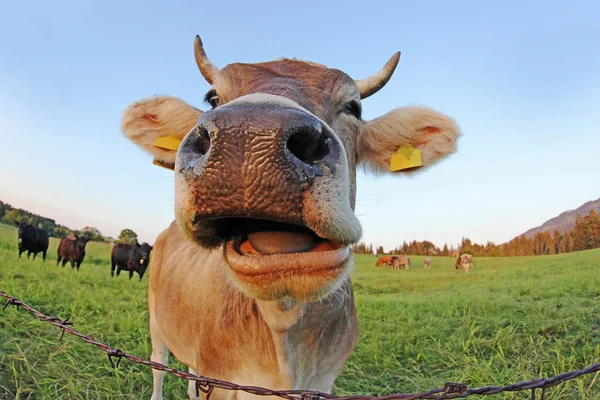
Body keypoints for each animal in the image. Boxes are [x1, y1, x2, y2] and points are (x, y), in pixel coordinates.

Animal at [120, 35, 460, 400]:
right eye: (212, 98)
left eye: (354, 107)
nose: (250, 134)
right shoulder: (221, 378)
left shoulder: (323, 381)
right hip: (156, 319)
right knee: (158, 365)